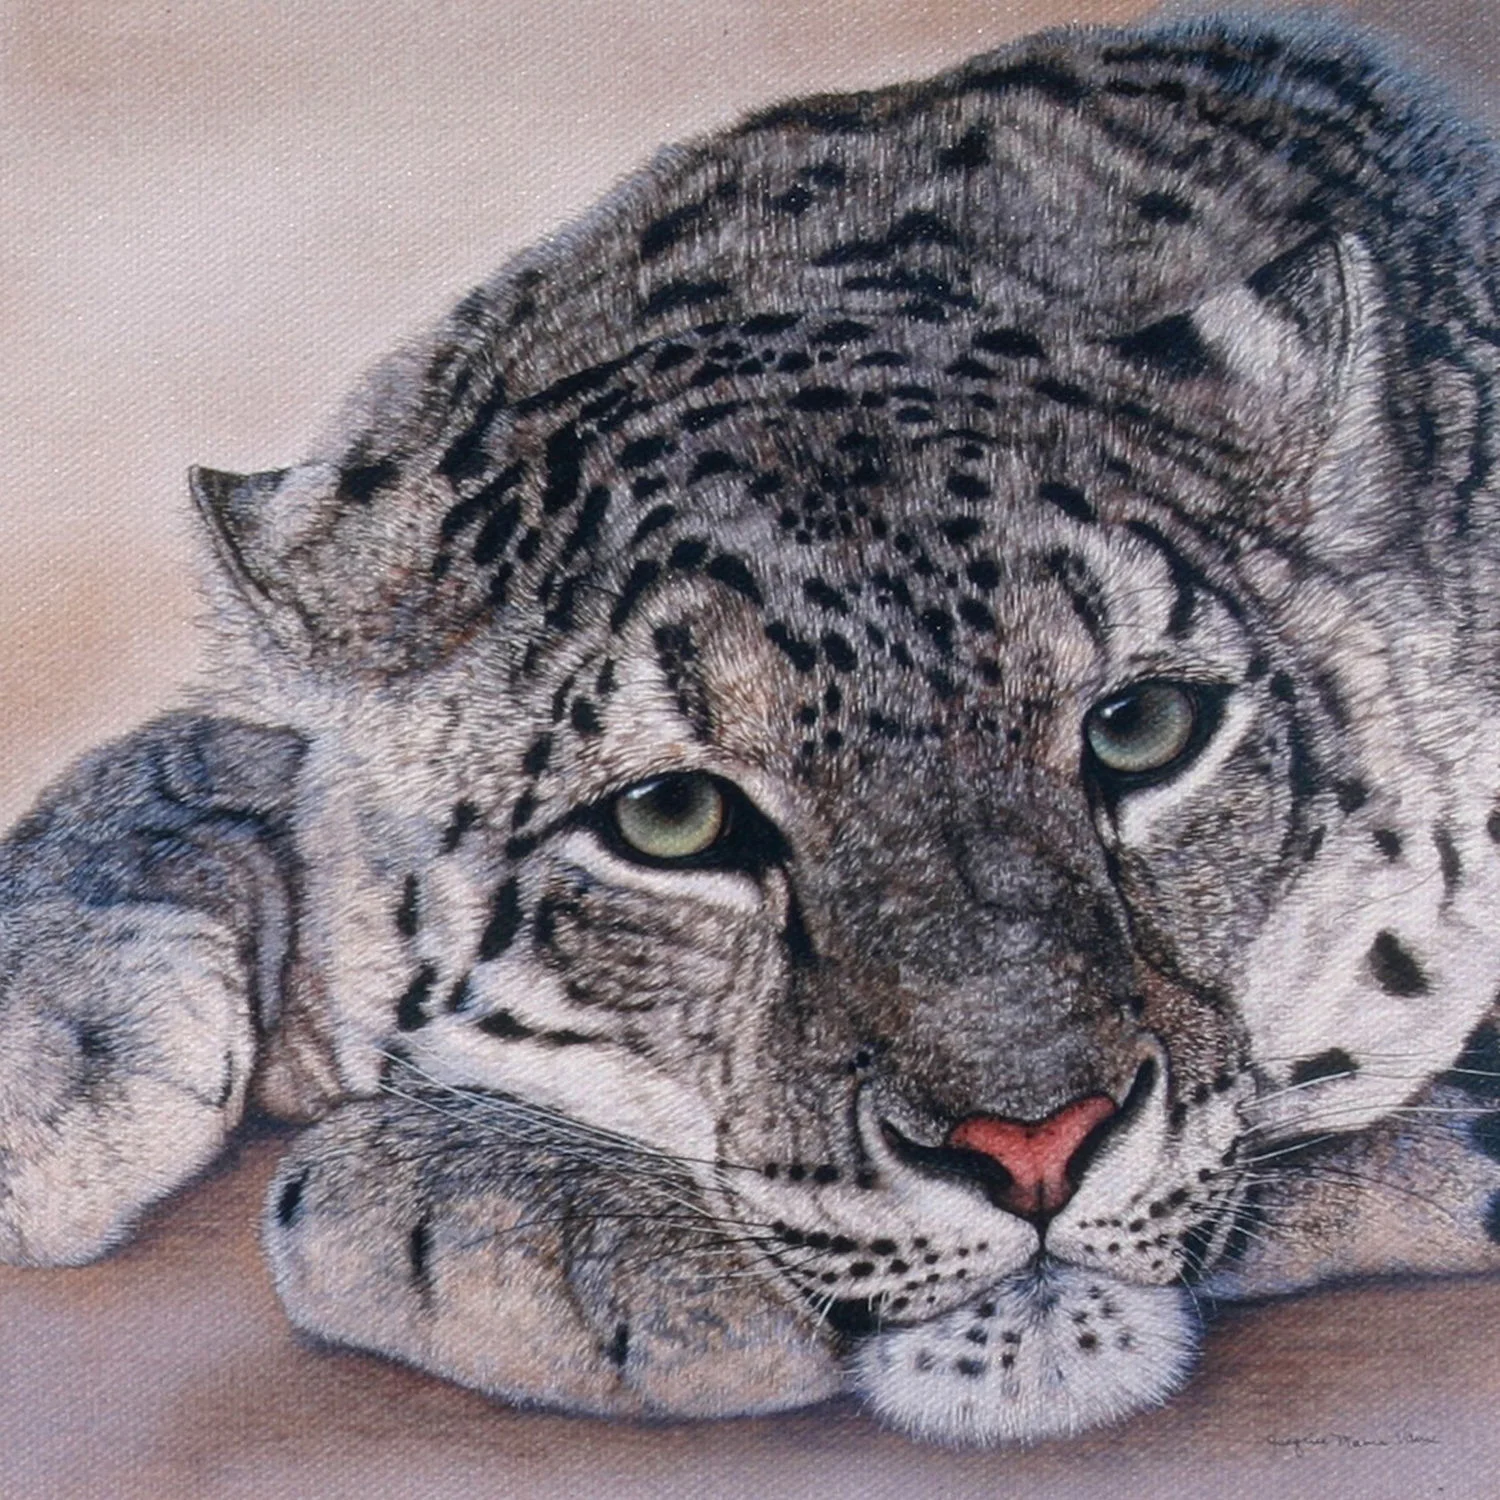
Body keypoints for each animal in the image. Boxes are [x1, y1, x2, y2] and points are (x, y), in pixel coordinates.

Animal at [6, 11, 1500, 1448]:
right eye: (671, 818)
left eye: (1141, 727)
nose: (1033, 1143)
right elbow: (204, 753)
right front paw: (63, 1072)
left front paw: (483, 1206)